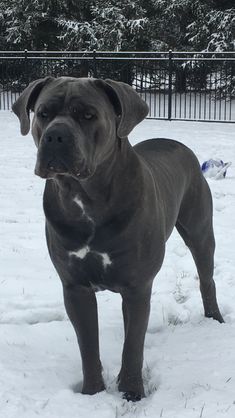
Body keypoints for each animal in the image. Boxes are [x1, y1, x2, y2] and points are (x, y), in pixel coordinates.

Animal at [12, 76, 224, 402]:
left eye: (88, 115)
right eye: (43, 114)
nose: (55, 136)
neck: (86, 197)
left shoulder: (138, 286)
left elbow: (133, 346)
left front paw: (132, 392)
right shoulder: (75, 288)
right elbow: (88, 346)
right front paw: (92, 393)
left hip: (199, 231)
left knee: (206, 278)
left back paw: (215, 318)